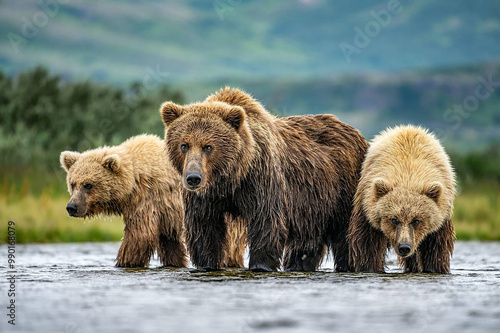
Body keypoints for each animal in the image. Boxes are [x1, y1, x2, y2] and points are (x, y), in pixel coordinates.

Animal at [160, 87, 368, 272]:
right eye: (184, 145)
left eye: (208, 146)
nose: (193, 178)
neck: (232, 178)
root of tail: (355, 132)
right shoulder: (205, 197)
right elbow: (204, 228)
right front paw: (207, 264)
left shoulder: (261, 179)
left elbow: (266, 222)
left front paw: (261, 265)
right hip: (314, 204)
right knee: (307, 241)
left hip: (343, 188)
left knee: (346, 236)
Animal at [348, 124, 458, 272]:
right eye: (394, 219)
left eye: (416, 220)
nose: (404, 247)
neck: (407, 174)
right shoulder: (366, 206)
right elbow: (367, 243)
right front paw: (369, 267)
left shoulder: (441, 215)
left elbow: (436, 247)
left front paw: (434, 267)